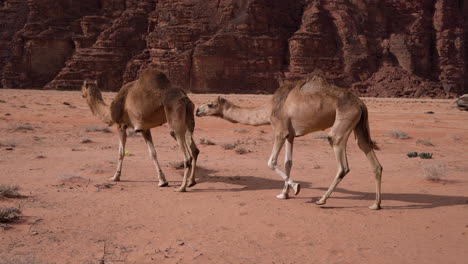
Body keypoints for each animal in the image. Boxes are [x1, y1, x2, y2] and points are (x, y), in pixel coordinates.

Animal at [197, 76, 384, 210]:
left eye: (210, 104)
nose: (197, 110)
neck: (270, 108)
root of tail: (361, 103)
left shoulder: (279, 130)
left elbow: (271, 162)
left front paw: (296, 187)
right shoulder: (291, 135)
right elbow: (288, 162)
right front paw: (283, 193)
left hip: (343, 122)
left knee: (341, 159)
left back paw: (321, 200)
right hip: (359, 124)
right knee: (369, 154)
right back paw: (376, 204)